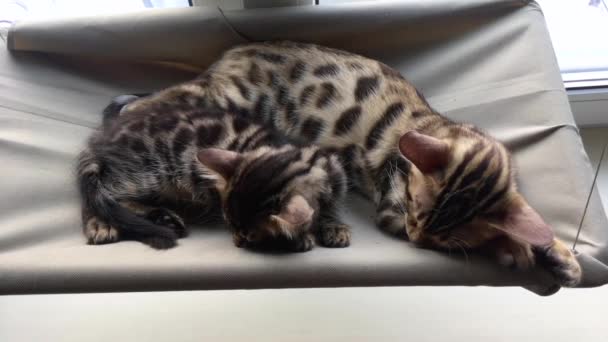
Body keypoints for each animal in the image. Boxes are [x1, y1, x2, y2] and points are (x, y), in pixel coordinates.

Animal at [77, 96, 352, 251]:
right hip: (150, 172)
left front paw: (333, 225)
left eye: (249, 234)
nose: (239, 241)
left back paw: (164, 218)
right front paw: (299, 237)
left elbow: (329, 207)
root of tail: (100, 138)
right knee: (101, 197)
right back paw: (101, 224)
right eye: (233, 228)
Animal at [113, 41, 580, 288]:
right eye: (414, 212)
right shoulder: (391, 209)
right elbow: (493, 236)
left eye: (430, 228)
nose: (416, 239)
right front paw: (515, 248)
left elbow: (523, 220)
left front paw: (556, 252)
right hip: (230, 96)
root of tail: (232, 52)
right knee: (153, 100)